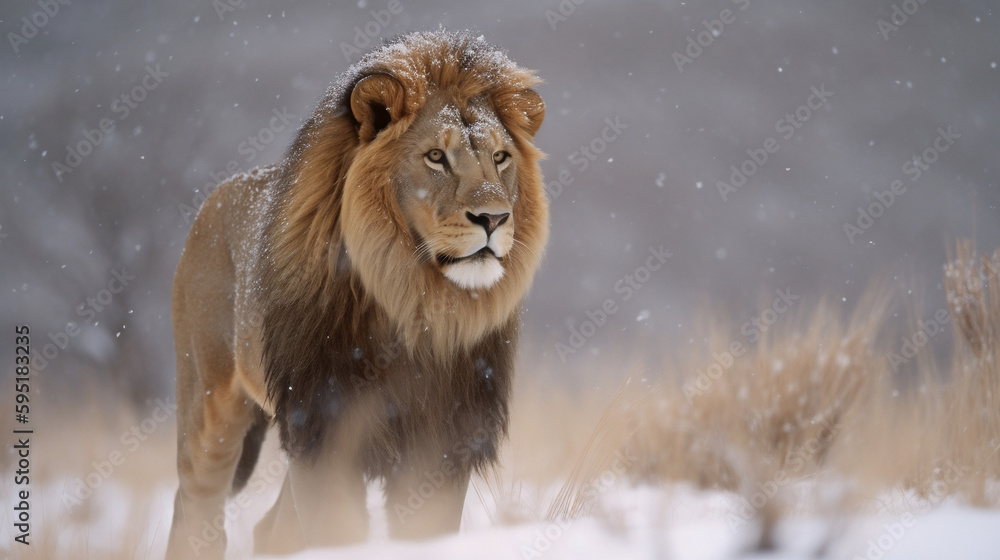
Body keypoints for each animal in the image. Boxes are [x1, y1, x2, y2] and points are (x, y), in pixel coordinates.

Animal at [165, 31, 548, 559]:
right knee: (195, 511)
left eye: (500, 158)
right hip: (209, 403)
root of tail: (215, 197)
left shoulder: (442, 443)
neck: (415, 305)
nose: (493, 218)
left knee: (271, 529)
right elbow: (335, 532)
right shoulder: (323, 427)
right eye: (436, 156)